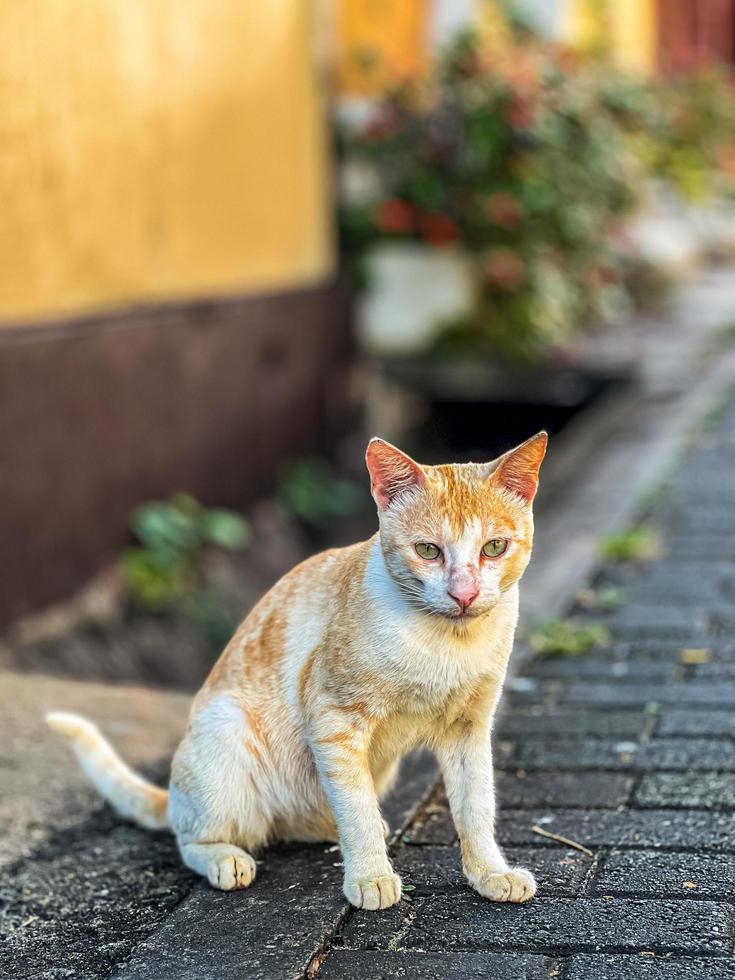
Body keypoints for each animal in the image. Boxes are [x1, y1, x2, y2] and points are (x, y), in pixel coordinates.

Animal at [47, 434, 548, 912]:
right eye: (428, 551)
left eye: (494, 548)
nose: (464, 594)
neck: (448, 643)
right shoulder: (333, 719)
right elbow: (357, 811)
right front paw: (370, 877)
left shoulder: (469, 728)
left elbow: (475, 806)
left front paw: (490, 873)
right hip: (225, 733)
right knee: (195, 838)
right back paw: (226, 857)